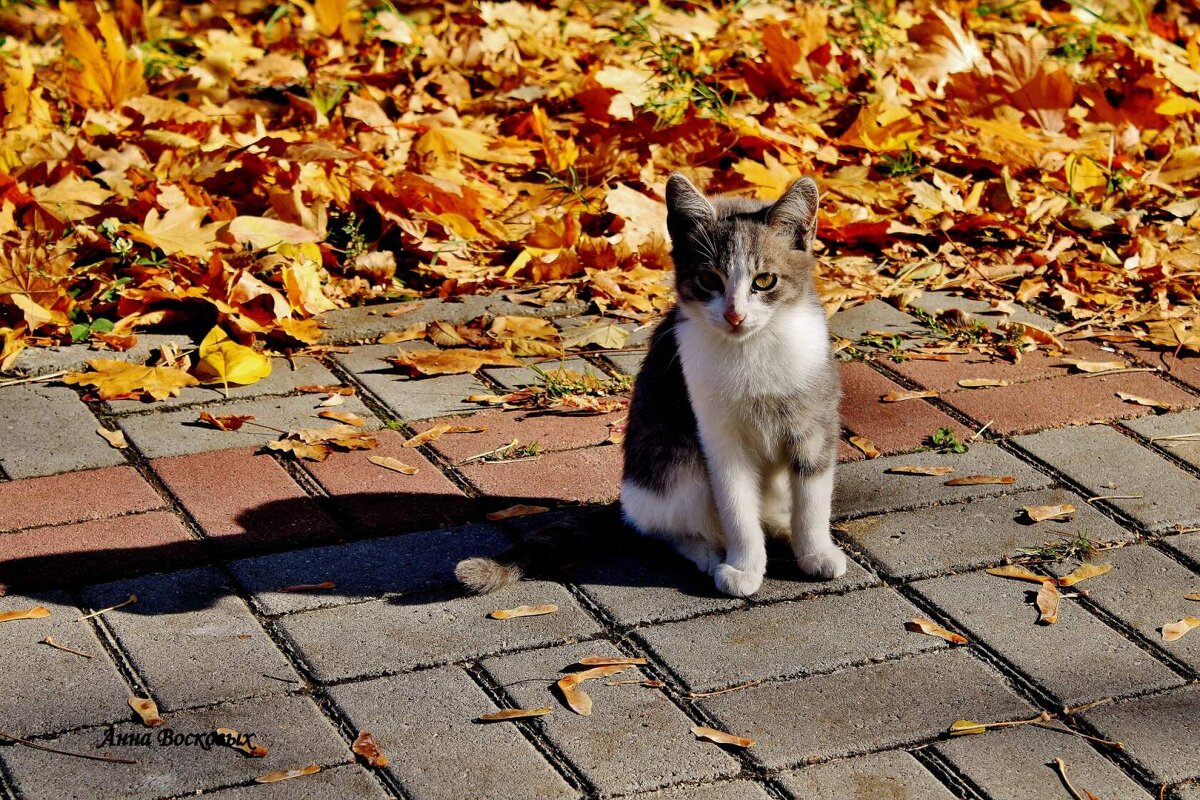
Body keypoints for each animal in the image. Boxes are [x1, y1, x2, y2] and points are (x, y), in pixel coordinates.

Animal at [453, 176, 849, 599]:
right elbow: (736, 505)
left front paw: (815, 551)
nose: (735, 315)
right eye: (709, 280)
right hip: (675, 467)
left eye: (764, 281)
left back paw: (778, 528)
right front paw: (744, 566)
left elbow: (812, 496)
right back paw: (709, 551)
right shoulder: (718, 435)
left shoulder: (816, 420)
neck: (753, 348)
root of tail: (626, 501)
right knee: (667, 527)